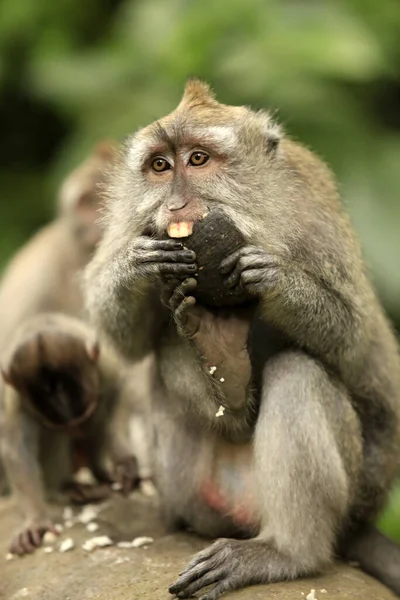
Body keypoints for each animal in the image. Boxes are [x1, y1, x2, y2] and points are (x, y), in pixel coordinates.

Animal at [0, 312, 139, 556]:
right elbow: (18, 450)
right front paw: (35, 520)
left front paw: (124, 461)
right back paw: (70, 488)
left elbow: (120, 390)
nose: (77, 430)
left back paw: (99, 475)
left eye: (82, 417)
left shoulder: (104, 364)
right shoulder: (17, 400)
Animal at [83, 81, 400, 600]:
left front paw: (277, 280)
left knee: (298, 373)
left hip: (347, 495)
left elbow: (353, 337)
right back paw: (224, 363)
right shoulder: (131, 221)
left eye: (197, 159)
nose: (175, 207)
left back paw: (288, 552)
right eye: (160, 167)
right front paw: (135, 262)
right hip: (187, 493)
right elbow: (126, 340)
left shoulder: (315, 213)